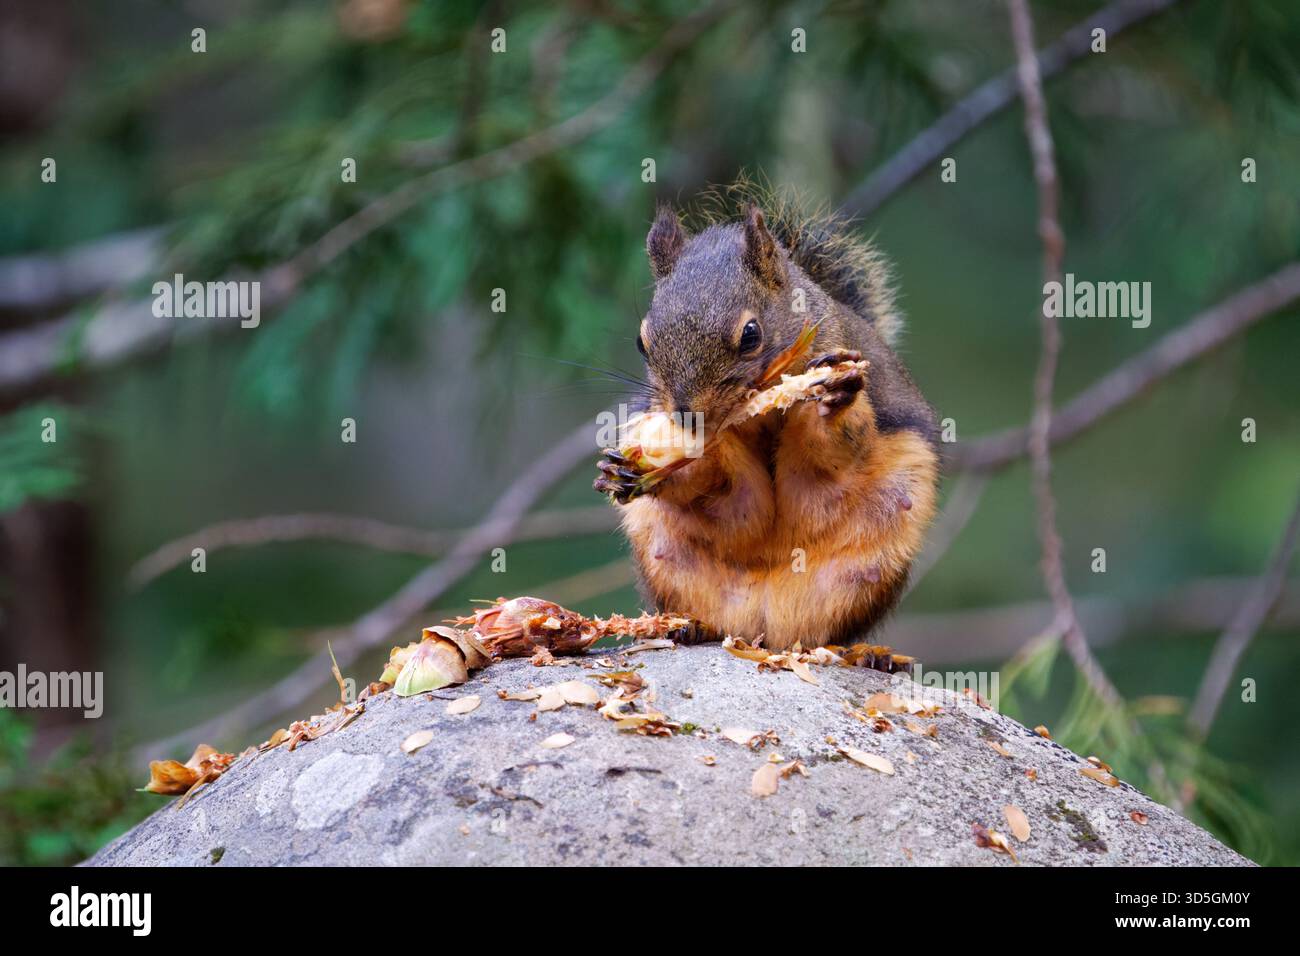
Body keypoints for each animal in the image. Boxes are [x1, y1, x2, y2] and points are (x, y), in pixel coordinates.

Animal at [594, 179, 940, 651]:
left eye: (751, 335)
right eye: (641, 342)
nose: (686, 417)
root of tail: (765, 628)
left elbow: (837, 451)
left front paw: (836, 399)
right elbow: (714, 484)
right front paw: (630, 470)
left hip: (875, 562)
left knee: (834, 628)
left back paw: (869, 654)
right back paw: (692, 626)